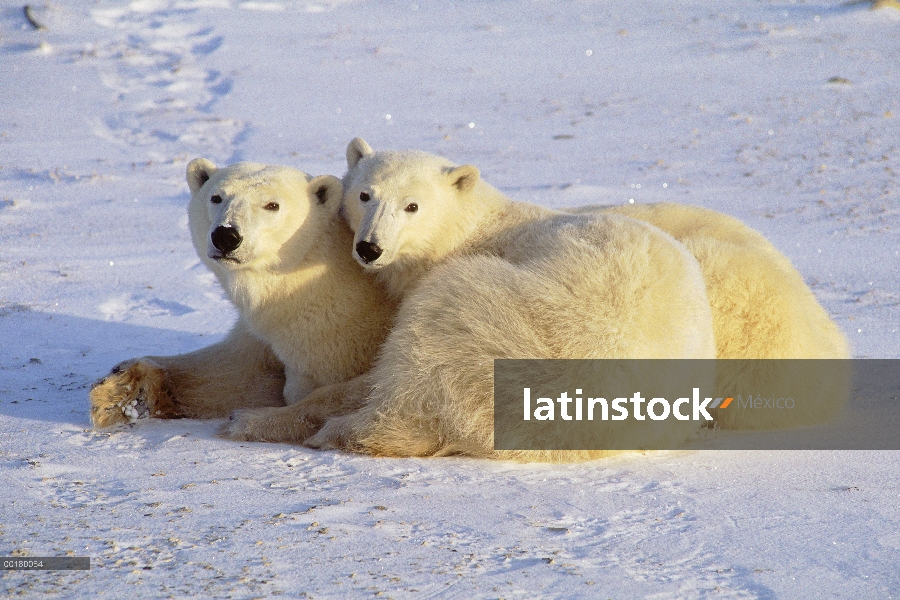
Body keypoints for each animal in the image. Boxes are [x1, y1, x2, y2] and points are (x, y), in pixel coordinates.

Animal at [89, 159, 396, 432]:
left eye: (272, 205)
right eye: (216, 196)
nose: (226, 235)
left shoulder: (335, 334)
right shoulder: (263, 330)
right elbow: (238, 371)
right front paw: (124, 389)